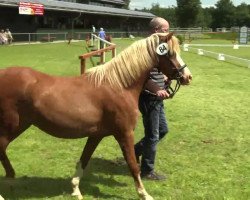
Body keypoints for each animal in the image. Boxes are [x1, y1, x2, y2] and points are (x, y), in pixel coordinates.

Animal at [0, 33, 192, 200]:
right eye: (171, 53)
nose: (187, 76)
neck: (118, 85)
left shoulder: (96, 135)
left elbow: (84, 159)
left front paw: (75, 189)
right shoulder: (124, 133)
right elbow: (132, 164)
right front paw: (144, 194)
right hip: (12, 127)